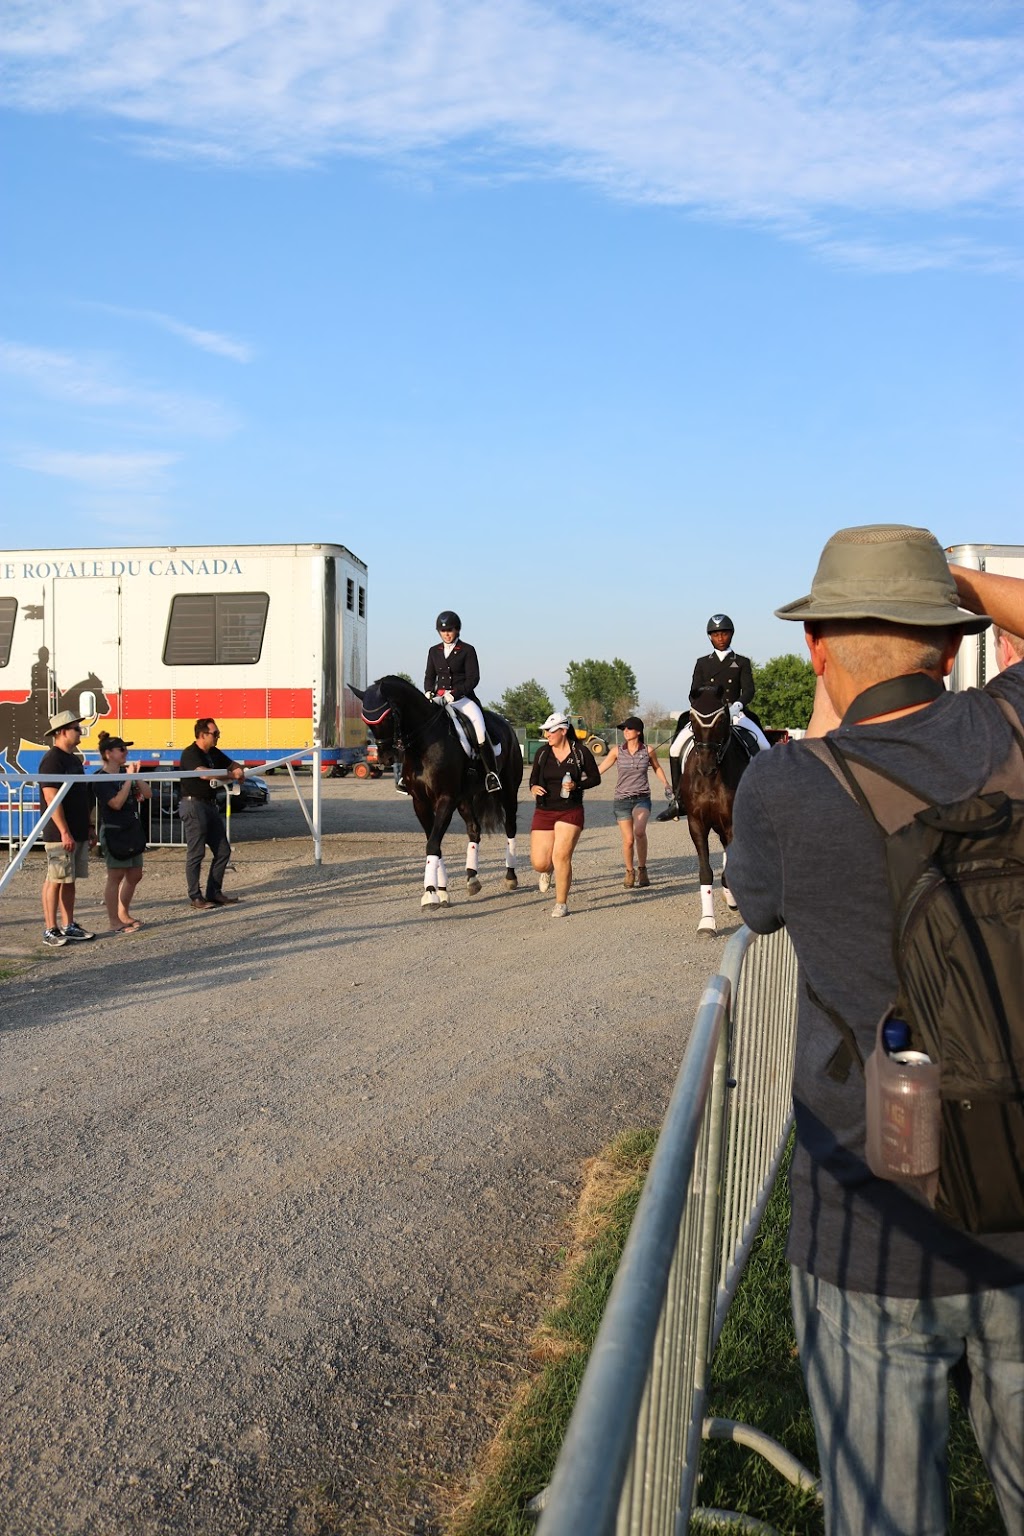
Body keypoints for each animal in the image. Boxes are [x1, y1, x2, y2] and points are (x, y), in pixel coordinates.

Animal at [354, 678, 528, 903]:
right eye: (366, 721)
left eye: (390, 716)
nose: (386, 758)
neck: (423, 743)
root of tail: (506, 725)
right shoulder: (420, 802)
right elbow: (433, 841)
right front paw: (442, 890)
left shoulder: (446, 799)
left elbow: (432, 843)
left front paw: (430, 893)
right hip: (464, 798)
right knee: (474, 829)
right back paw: (472, 878)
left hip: (508, 790)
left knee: (510, 826)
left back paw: (510, 876)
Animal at [681, 688, 761, 933]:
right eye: (692, 720)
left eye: (722, 720)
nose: (706, 767)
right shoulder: (697, 823)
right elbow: (706, 871)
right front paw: (707, 921)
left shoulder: (733, 824)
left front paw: (733, 900)